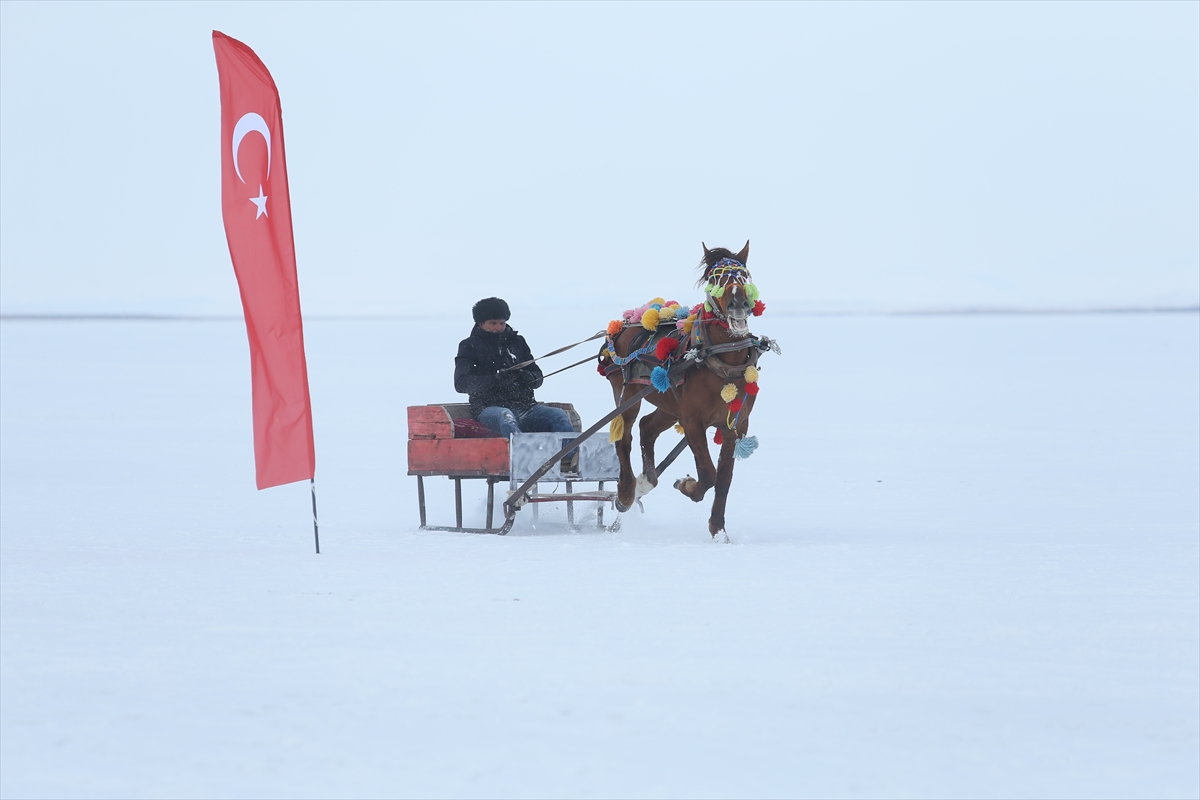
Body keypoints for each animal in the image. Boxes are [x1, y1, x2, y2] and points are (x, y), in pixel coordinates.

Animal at [599, 241, 769, 539]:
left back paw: (646, 481)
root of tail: (623, 326)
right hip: (628, 393)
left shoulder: (736, 425)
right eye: (715, 279)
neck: (721, 358)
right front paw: (687, 486)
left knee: (647, 427)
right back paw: (627, 493)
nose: (738, 304)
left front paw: (718, 529)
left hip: (669, 404)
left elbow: (723, 478)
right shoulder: (692, 421)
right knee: (625, 437)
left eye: (744, 276)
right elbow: (708, 473)